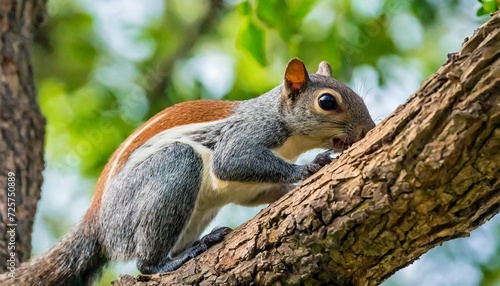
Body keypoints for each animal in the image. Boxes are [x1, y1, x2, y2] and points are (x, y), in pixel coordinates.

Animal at [0, 58, 376, 286]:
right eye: (327, 101)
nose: (368, 130)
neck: (289, 136)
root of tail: (98, 224)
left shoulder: (252, 189)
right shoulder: (245, 136)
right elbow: (231, 161)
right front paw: (310, 166)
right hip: (170, 172)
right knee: (145, 263)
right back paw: (171, 261)